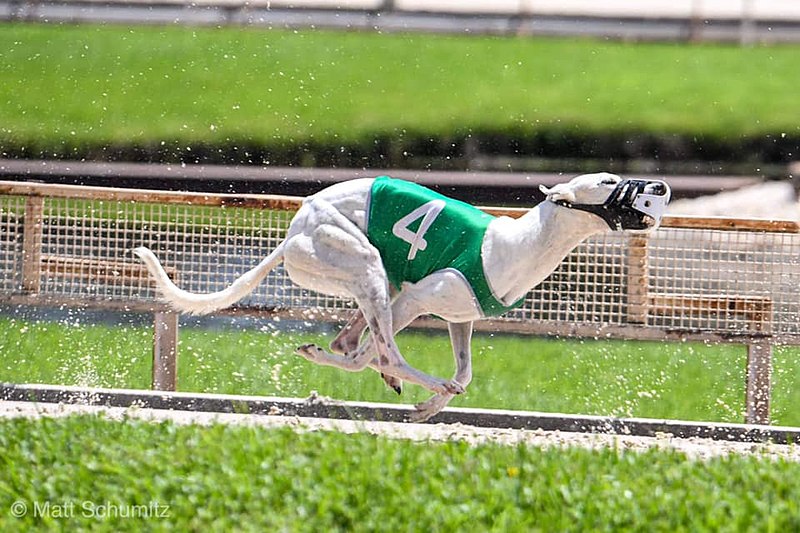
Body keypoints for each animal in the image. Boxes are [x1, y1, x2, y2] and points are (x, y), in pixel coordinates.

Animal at [136, 171, 668, 420]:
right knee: (382, 349)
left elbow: (465, 368)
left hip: (375, 280)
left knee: (352, 343)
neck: (520, 244)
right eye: (606, 182)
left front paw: (429, 407)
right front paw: (432, 395)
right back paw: (416, 380)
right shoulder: (417, 298)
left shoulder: (460, 317)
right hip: (367, 267)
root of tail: (293, 231)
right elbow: (404, 358)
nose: (660, 187)